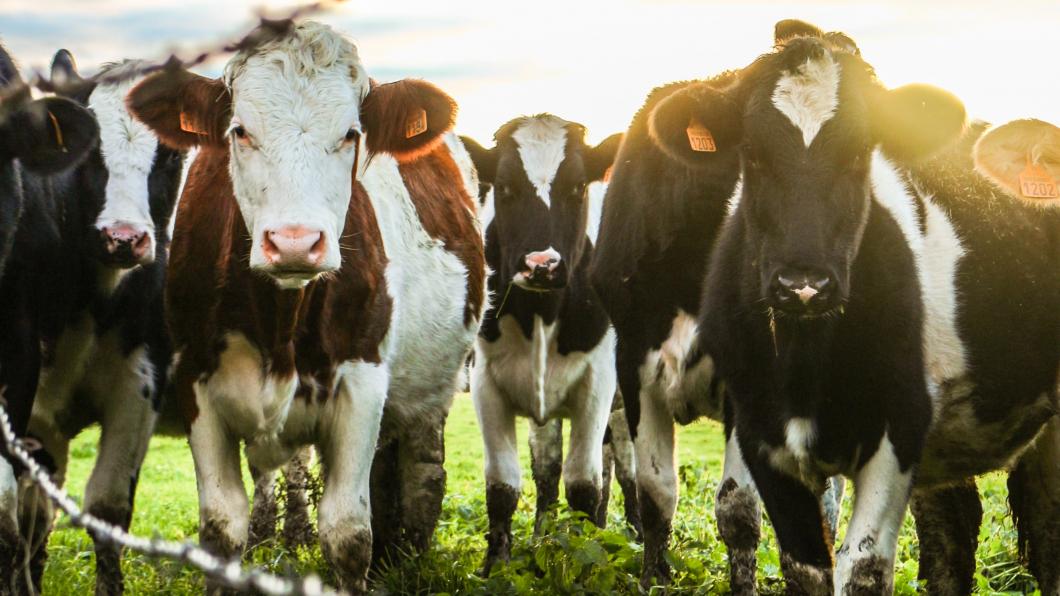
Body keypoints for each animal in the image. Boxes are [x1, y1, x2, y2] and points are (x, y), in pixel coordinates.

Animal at [127, 21, 485, 592]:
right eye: (239, 131)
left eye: (351, 134)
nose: (295, 242)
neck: (279, 321)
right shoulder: (195, 382)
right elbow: (222, 527)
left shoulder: (363, 383)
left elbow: (347, 532)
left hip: (433, 386)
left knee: (423, 469)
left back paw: (408, 552)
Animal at [460, 115, 622, 573]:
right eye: (504, 186)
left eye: (578, 186)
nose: (542, 265)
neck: (541, 313)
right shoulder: (485, 383)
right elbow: (503, 485)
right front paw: (496, 565)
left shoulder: (599, 382)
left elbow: (584, 485)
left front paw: (587, 563)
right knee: (549, 470)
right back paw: (542, 537)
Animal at [640, 23, 1058, 594]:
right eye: (752, 153)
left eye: (860, 153)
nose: (804, 286)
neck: (804, 362)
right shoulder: (759, 434)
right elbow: (804, 567)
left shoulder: (898, 427)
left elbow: (861, 568)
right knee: (957, 530)